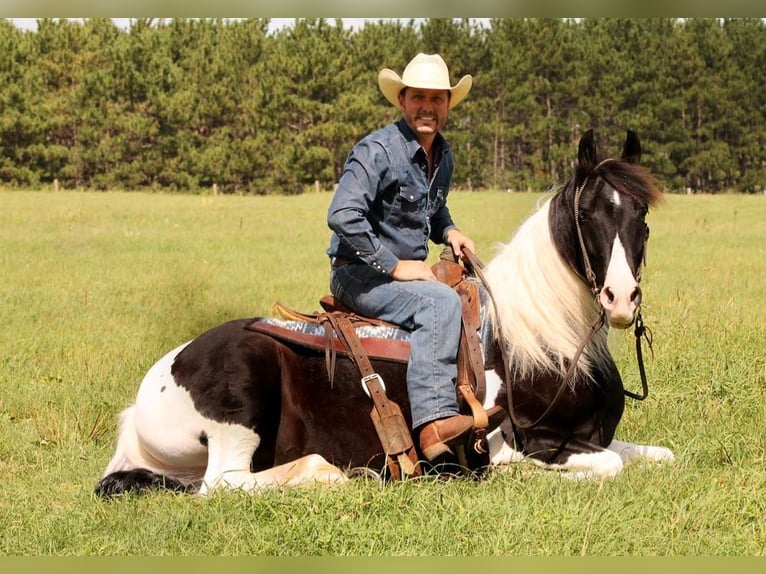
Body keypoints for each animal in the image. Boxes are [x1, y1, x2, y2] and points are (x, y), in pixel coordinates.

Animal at [96, 128, 680, 498]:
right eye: (589, 213)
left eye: (642, 214)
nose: (621, 298)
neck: (542, 345)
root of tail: (145, 397)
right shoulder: (521, 442)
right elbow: (604, 464)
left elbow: (657, 455)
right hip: (240, 403)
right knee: (222, 485)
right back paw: (328, 474)